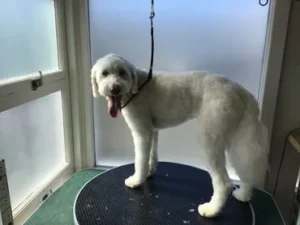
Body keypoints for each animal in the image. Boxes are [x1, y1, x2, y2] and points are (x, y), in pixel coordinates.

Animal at [90, 53, 268, 218]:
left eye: (122, 72)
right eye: (105, 73)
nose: (115, 88)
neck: (138, 86)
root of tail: (242, 92)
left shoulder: (141, 132)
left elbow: (140, 160)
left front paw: (137, 180)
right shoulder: (152, 130)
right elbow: (151, 155)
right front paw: (149, 172)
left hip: (209, 138)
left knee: (224, 183)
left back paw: (211, 210)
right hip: (238, 139)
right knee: (246, 167)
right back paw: (243, 195)